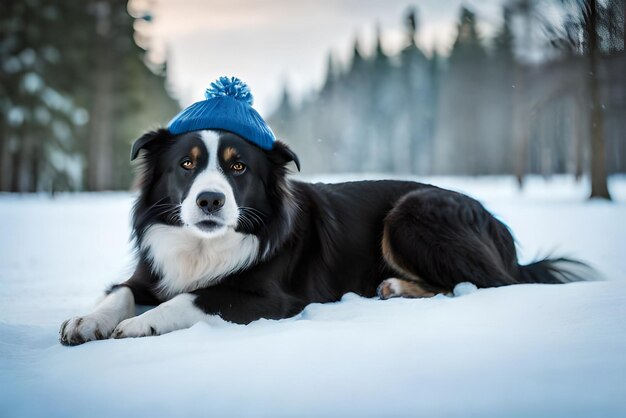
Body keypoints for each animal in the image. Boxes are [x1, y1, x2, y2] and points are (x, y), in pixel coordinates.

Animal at [58, 129, 580, 344]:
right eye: (185, 164)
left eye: (238, 168)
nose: (209, 201)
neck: (206, 245)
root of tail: (495, 221)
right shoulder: (150, 272)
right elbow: (122, 292)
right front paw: (87, 321)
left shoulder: (268, 298)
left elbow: (191, 299)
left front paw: (141, 325)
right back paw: (395, 287)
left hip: (411, 211)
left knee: (490, 284)